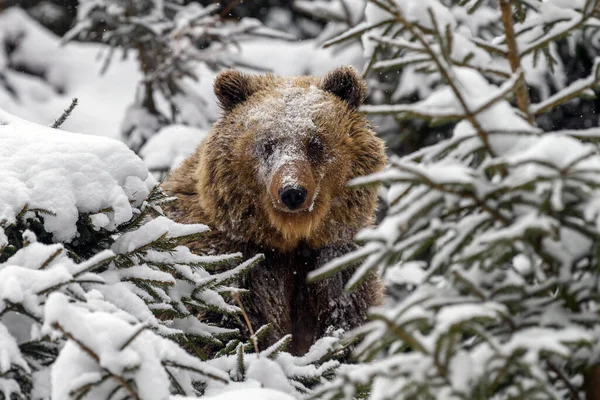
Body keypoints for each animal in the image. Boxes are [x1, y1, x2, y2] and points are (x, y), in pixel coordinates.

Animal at [163, 66, 390, 356]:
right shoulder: (234, 267)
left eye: (315, 142)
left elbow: (345, 324)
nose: (292, 192)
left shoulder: (336, 264)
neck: (290, 241)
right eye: (267, 144)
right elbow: (232, 330)